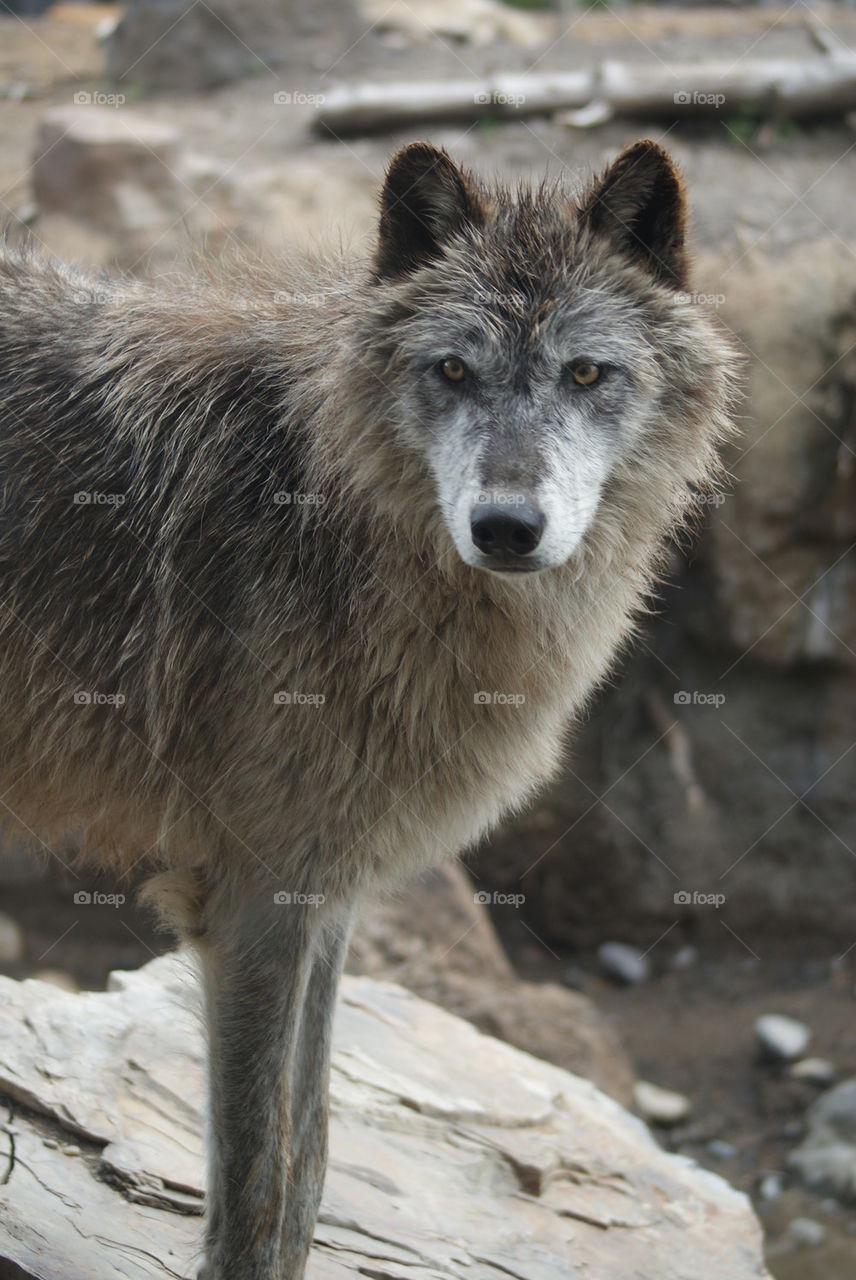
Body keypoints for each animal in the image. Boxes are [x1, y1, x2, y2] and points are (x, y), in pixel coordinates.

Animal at [0, 139, 736, 1278]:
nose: (506, 526)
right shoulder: (251, 899)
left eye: (584, 372)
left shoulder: (326, 892)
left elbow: (311, 1155)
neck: (331, 518)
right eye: (453, 370)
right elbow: (258, 1176)